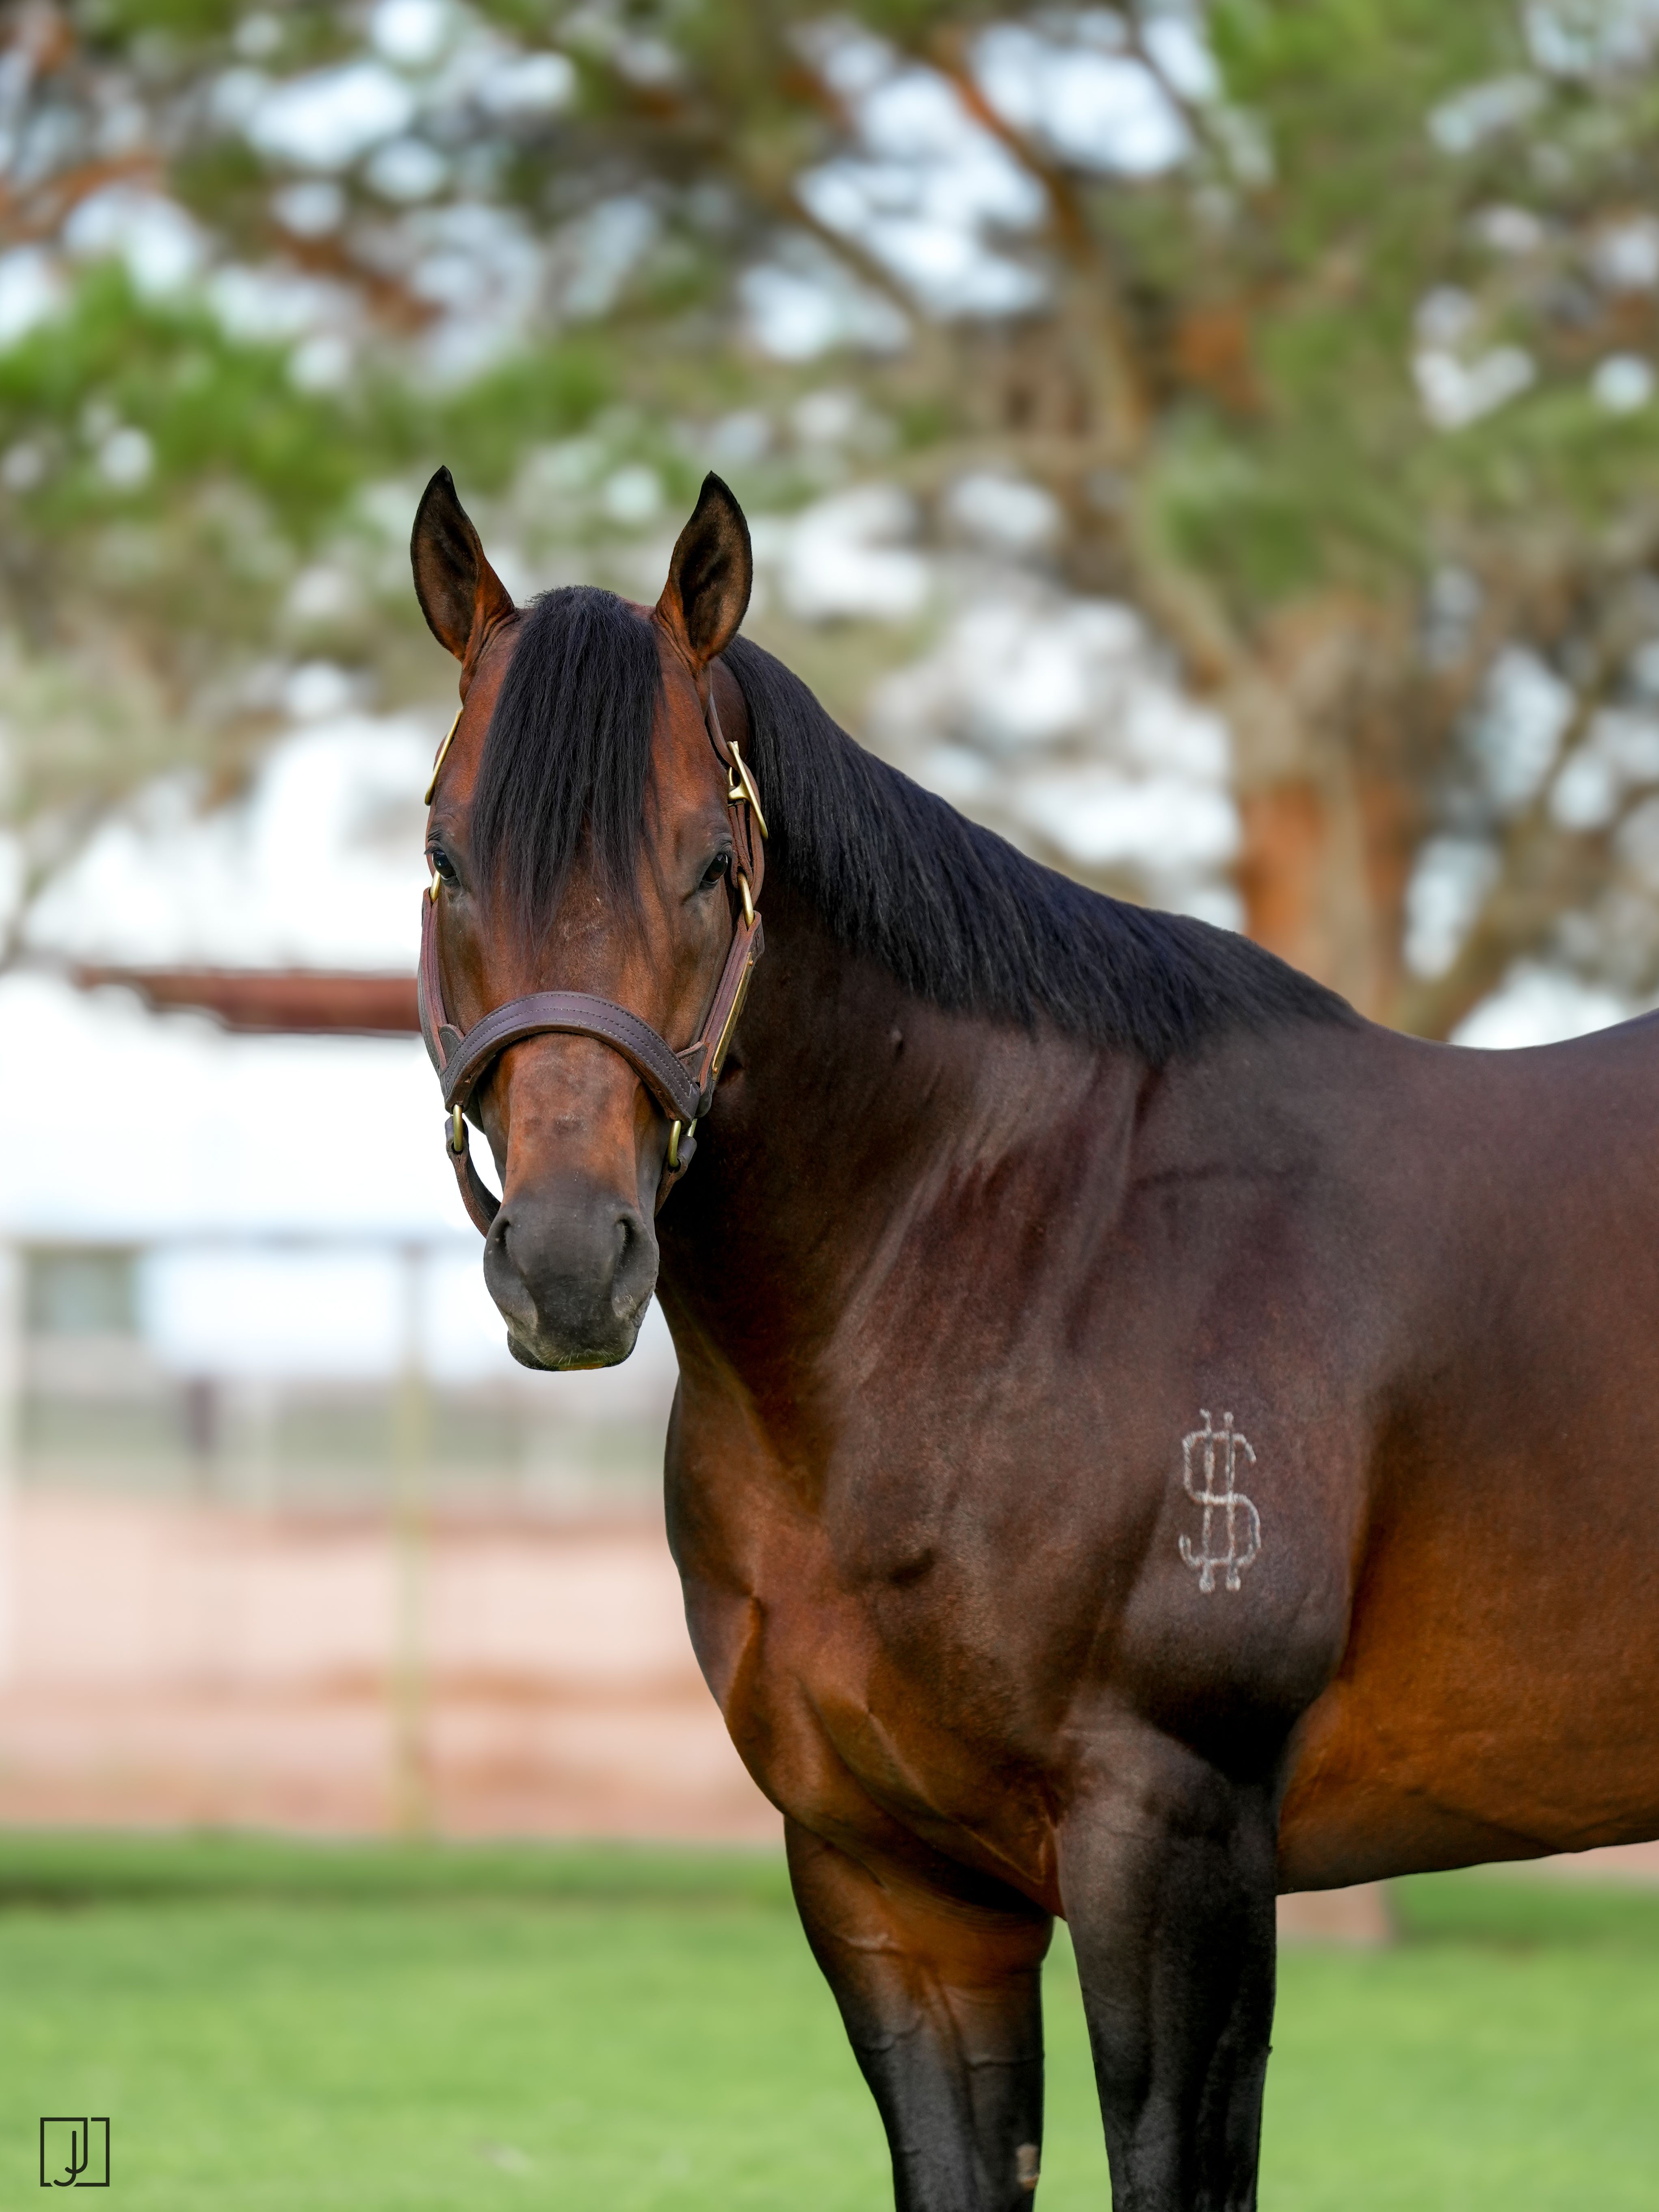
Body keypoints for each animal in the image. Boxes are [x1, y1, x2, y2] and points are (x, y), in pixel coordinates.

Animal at [409, 464, 1659, 2211]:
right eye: (448, 857)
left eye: (711, 865)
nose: (573, 1261)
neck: (1026, 1256)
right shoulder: (894, 1882)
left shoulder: (1171, 1845)